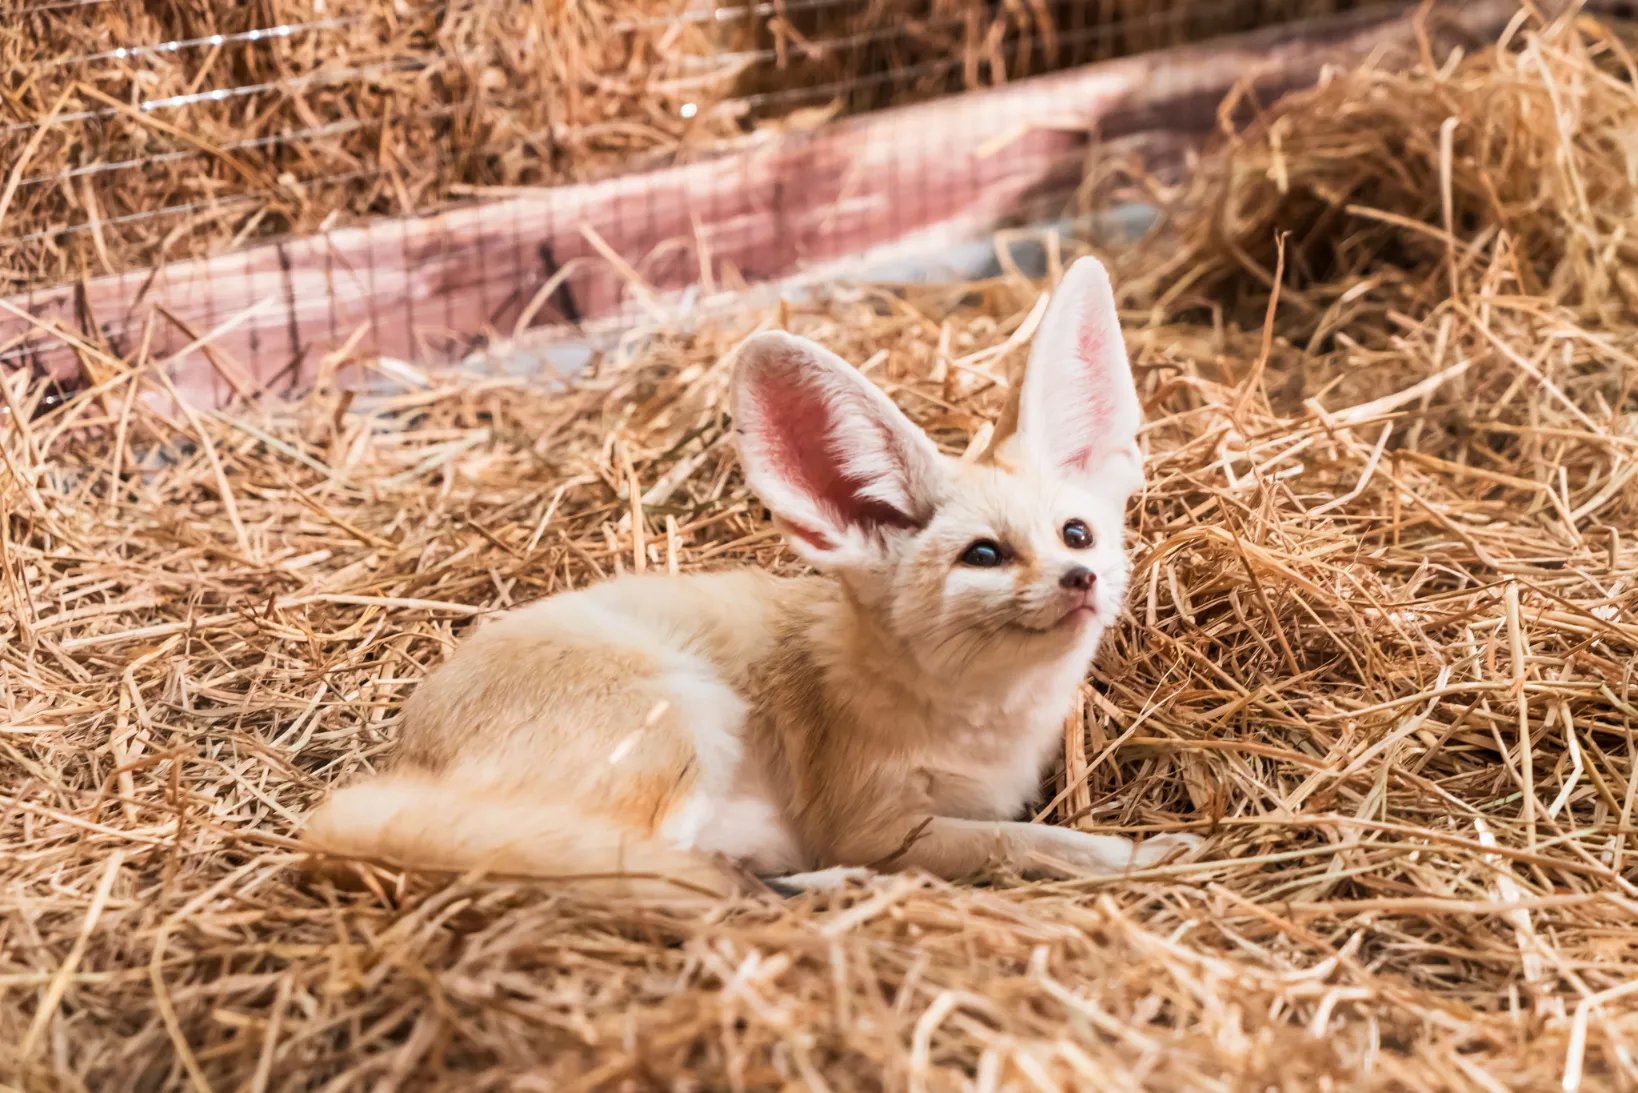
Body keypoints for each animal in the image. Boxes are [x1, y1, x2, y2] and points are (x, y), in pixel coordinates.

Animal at [301, 256, 1204, 897]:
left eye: (1076, 533)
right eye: (984, 554)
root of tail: (398, 764)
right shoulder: (884, 824)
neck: (984, 717)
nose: (1080, 578)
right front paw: (1142, 853)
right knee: (651, 862)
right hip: (689, 717)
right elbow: (1031, 841)